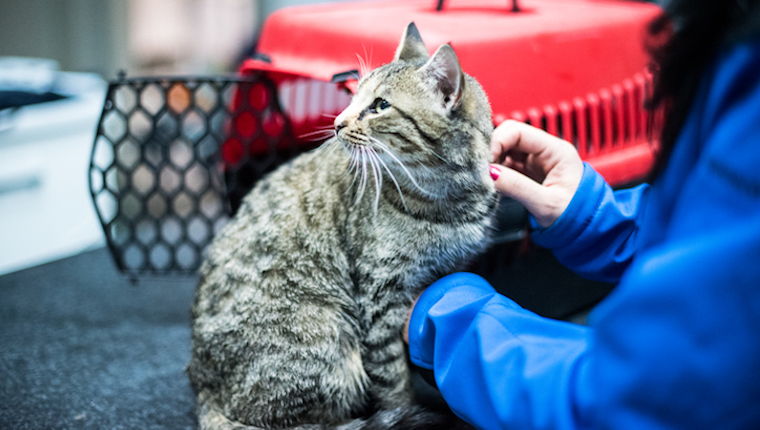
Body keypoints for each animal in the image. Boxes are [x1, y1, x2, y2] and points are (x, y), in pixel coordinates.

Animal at [189, 24, 498, 430]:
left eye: (380, 105)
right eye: (355, 95)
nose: (337, 123)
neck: (444, 197)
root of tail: (202, 386)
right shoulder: (380, 296)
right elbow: (392, 378)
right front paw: (402, 410)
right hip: (329, 338)